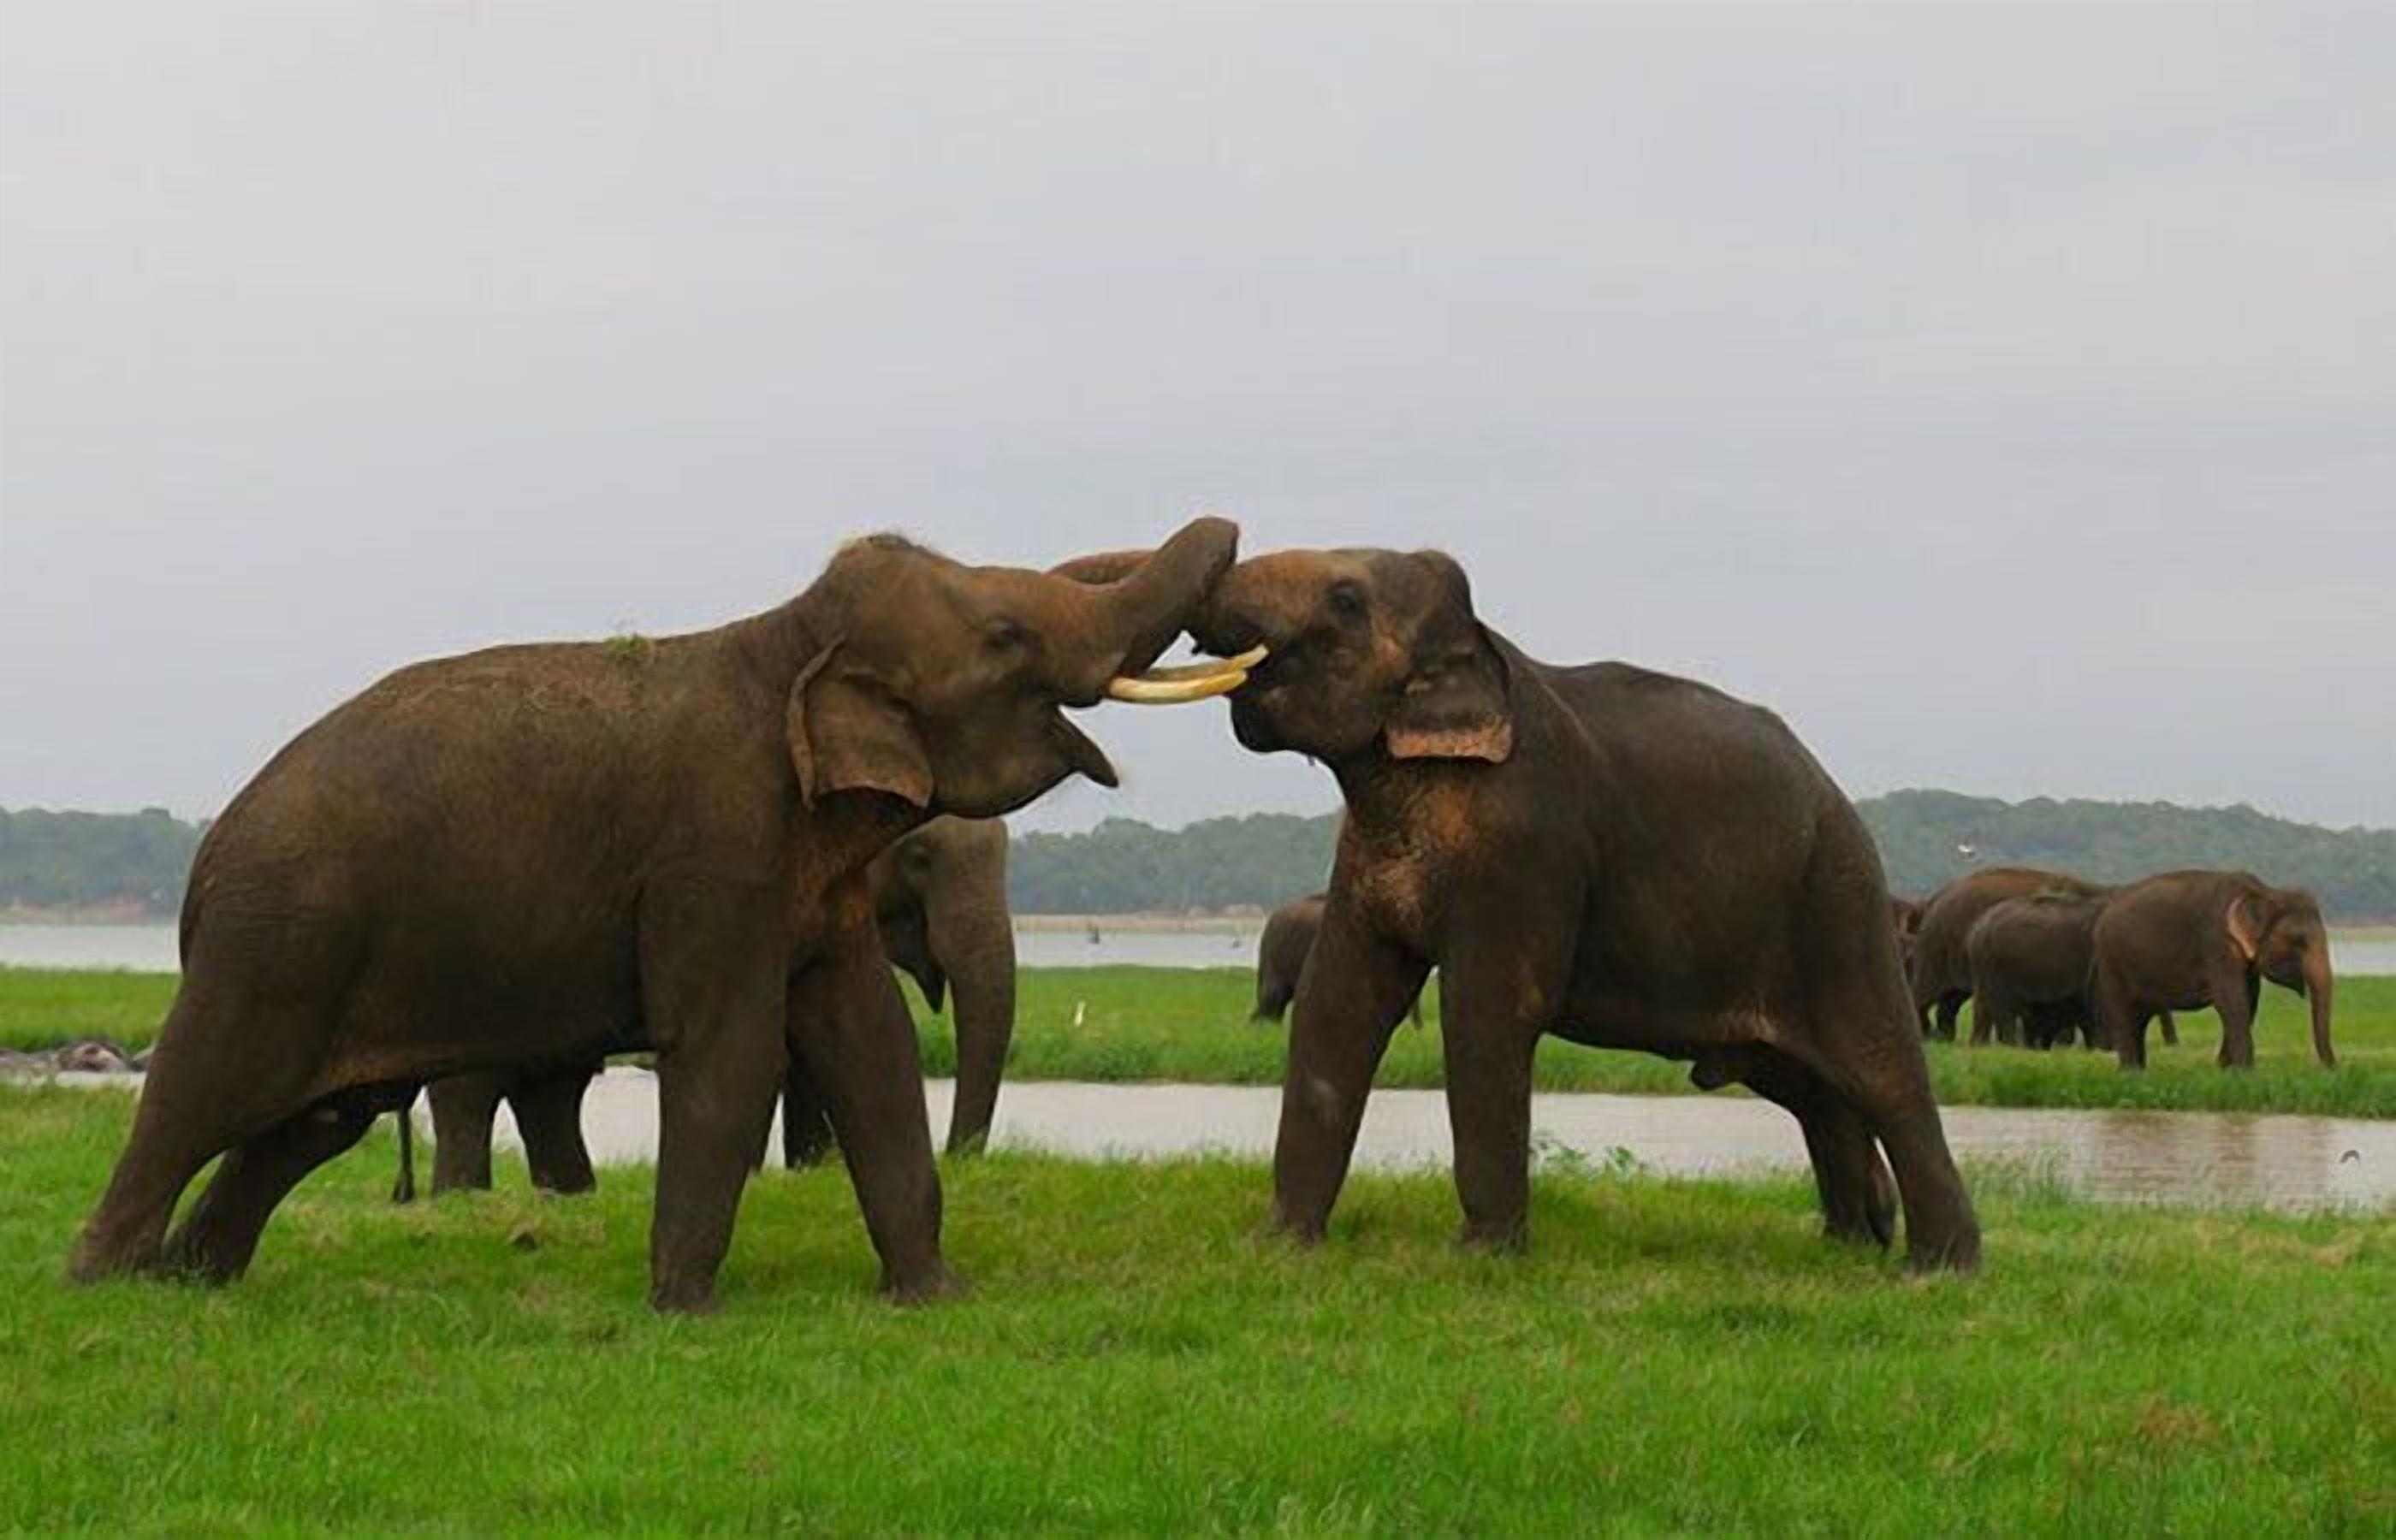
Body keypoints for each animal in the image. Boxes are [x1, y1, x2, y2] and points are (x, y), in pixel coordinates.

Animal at [397, 815, 1017, 1198]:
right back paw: (459, 1201)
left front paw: (811, 1170)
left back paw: (569, 1195)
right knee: (473, 1091)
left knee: (551, 1091)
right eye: (921, 856)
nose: (959, 1158)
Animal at [2091, 870, 2336, 1070]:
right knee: (2124, 1015)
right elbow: (2232, 1000)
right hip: (2111, 965)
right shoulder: (2217, 943)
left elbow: (2249, 1000)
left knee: (2139, 1020)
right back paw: (2130, 1072)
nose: (2332, 1070)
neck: (2263, 892)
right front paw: (2245, 1071)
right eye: (2299, 941)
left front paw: (2224, 1069)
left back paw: (2140, 1071)